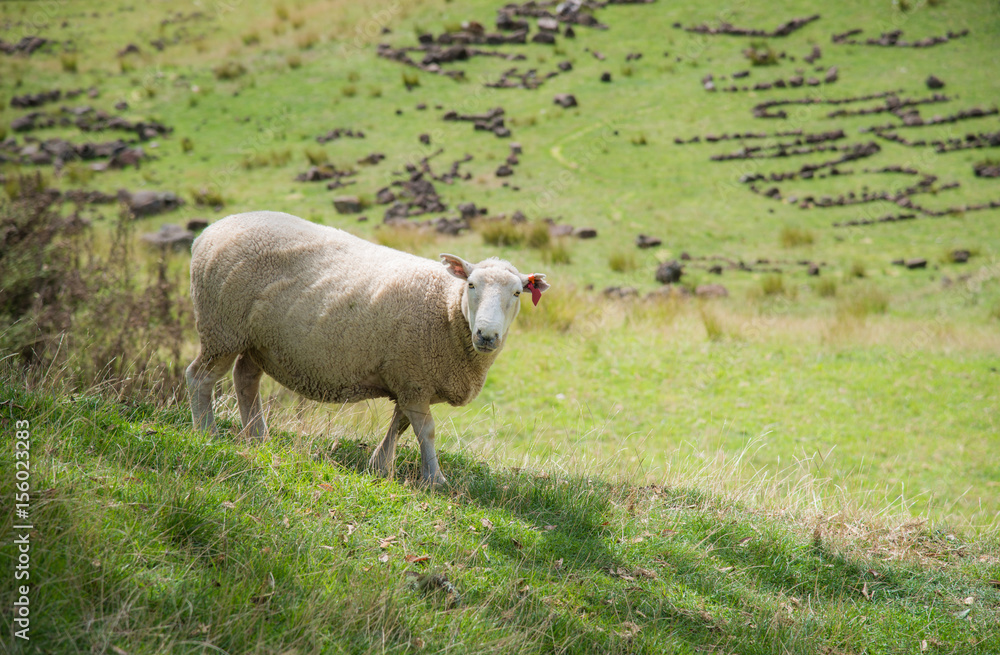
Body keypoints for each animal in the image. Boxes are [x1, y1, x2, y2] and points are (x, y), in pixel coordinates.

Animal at [184, 210, 552, 486]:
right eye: (472, 285)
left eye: (517, 293)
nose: (486, 335)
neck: (447, 307)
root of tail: (209, 231)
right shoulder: (414, 378)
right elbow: (427, 431)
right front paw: (435, 479)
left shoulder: (411, 378)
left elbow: (401, 424)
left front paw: (381, 465)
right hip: (222, 326)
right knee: (199, 377)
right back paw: (207, 432)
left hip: (257, 340)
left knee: (245, 380)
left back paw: (258, 438)